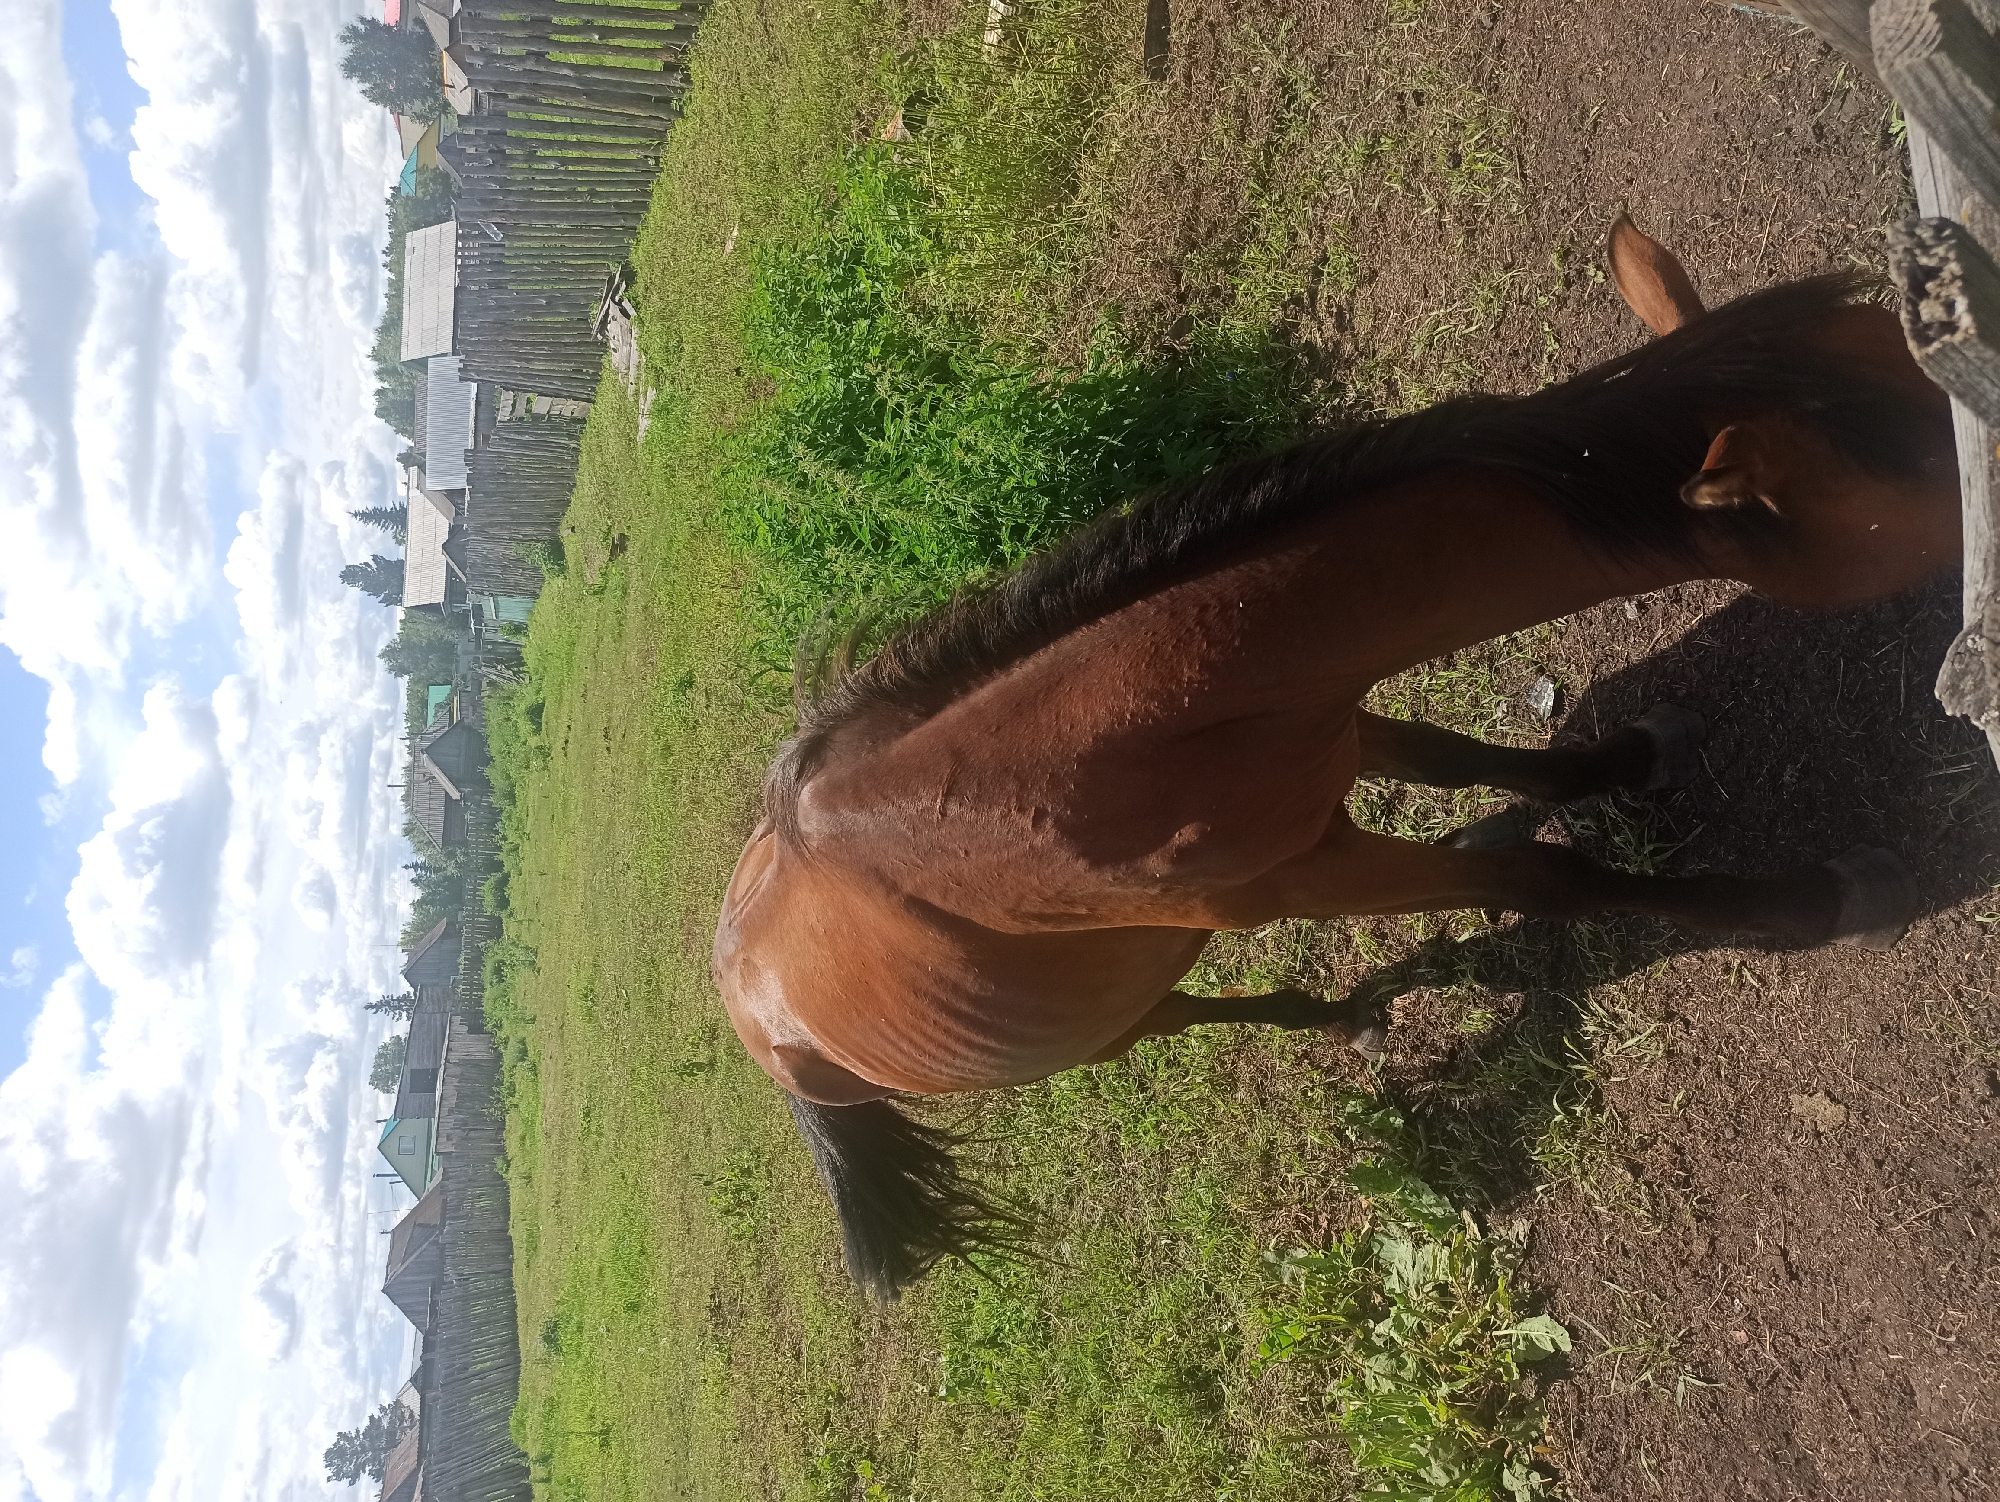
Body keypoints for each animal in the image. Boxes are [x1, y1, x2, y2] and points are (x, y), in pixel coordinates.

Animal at [712, 218, 1963, 1298]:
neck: (1079, 750)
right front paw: (1811, 899)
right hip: (1108, 1026)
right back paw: (1324, 1017)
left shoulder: (1322, 724)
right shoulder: (1310, 875)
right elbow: (1549, 875)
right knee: (1183, 1016)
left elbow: (1456, 760)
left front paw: (1615, 760)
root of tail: (753, 1013)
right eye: (1919, 472)